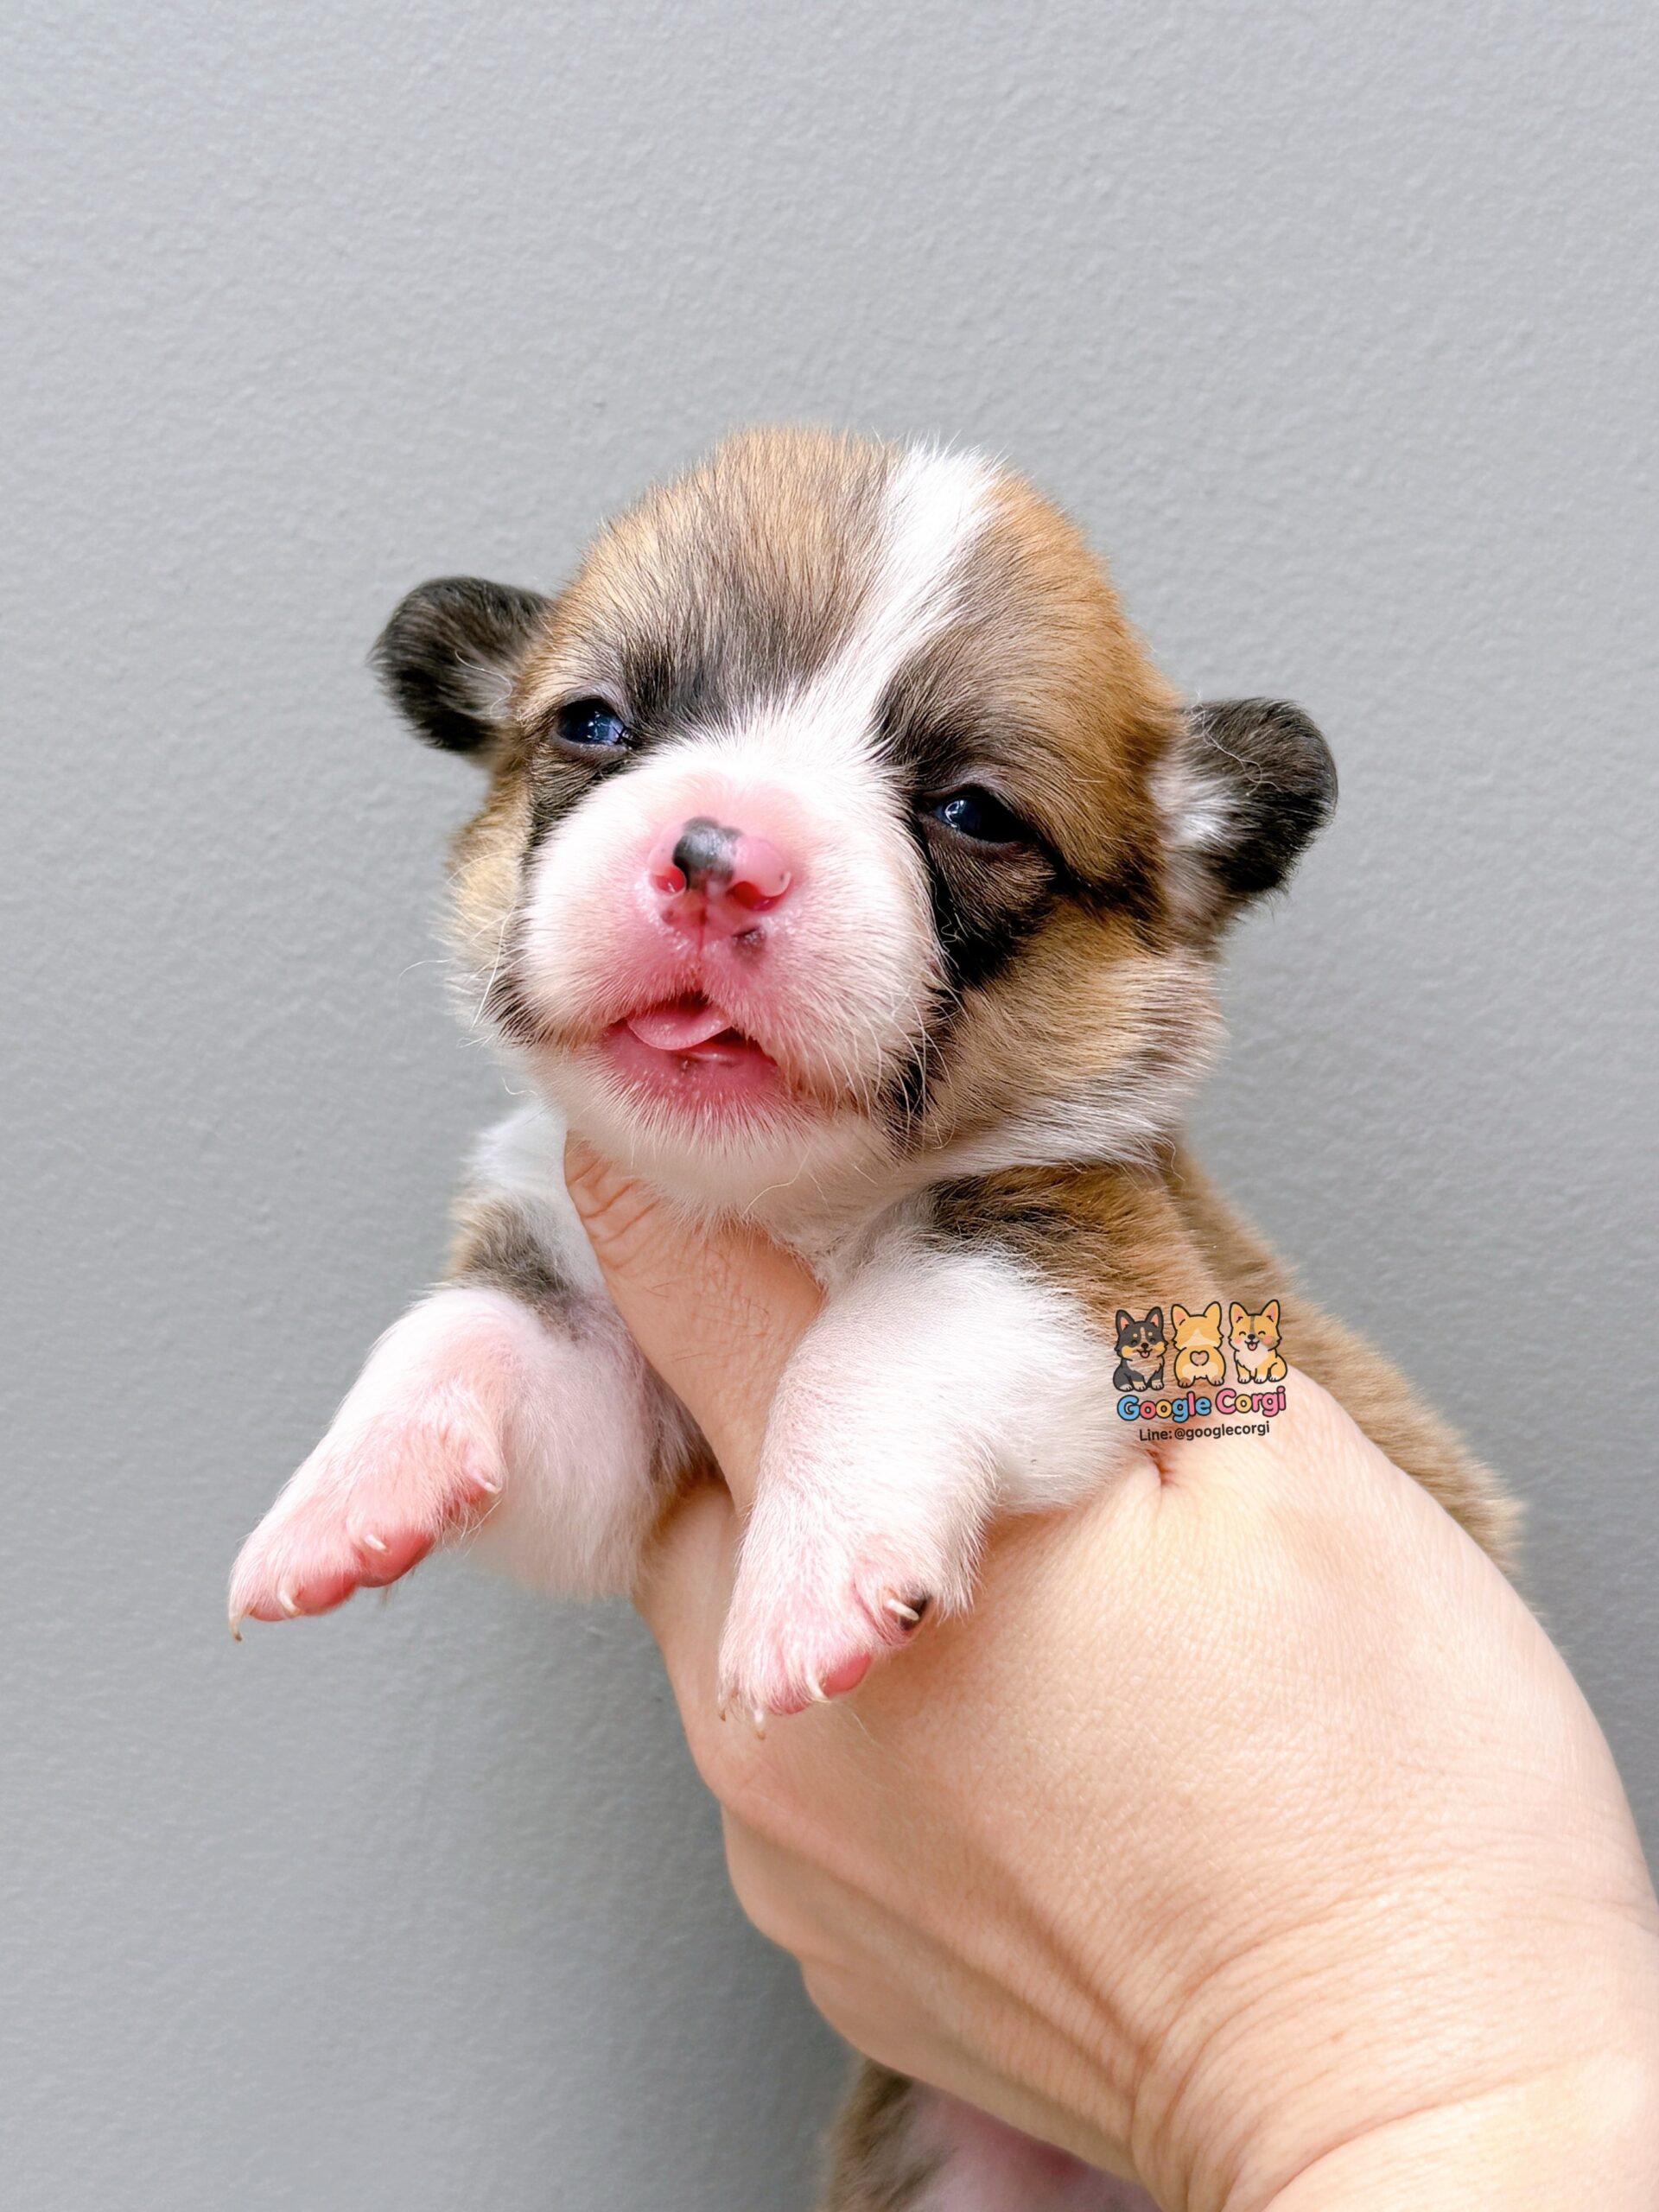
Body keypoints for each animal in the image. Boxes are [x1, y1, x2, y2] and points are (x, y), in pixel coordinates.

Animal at [229, 428, 1517, 2212]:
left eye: (970, 811)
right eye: (597, 725)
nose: (717, 858)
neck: (795, 1202)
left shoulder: (1085, 1261)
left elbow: (886, 1339)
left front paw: (812, 1575)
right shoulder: (601, 1379)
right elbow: (467, 1339)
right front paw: (347, 1488)